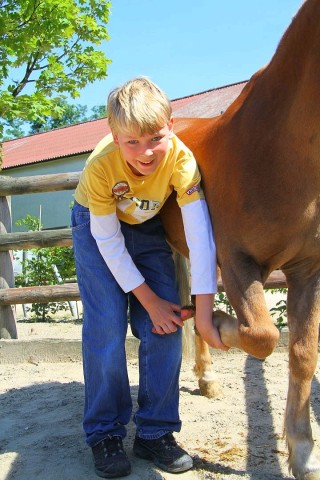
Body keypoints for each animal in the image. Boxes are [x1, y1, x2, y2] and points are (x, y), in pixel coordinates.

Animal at [161, 1, 320, 478]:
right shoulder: (237, 262)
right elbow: (262, 335)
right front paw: (220, 324)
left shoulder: (308, 269)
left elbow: (302, 353)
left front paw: (303, 453)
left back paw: (207, 377)